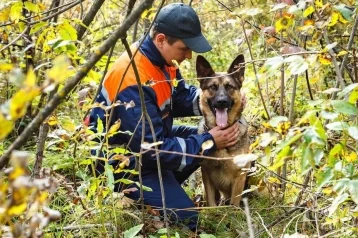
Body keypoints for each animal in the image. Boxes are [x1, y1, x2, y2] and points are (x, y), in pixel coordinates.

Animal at [197, 54, 250, 206]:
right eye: (213, 87)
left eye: (229, 87)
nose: (221, 102)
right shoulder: (206, 174)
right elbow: (211, 201)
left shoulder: (240, 175)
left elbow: (234, 203)